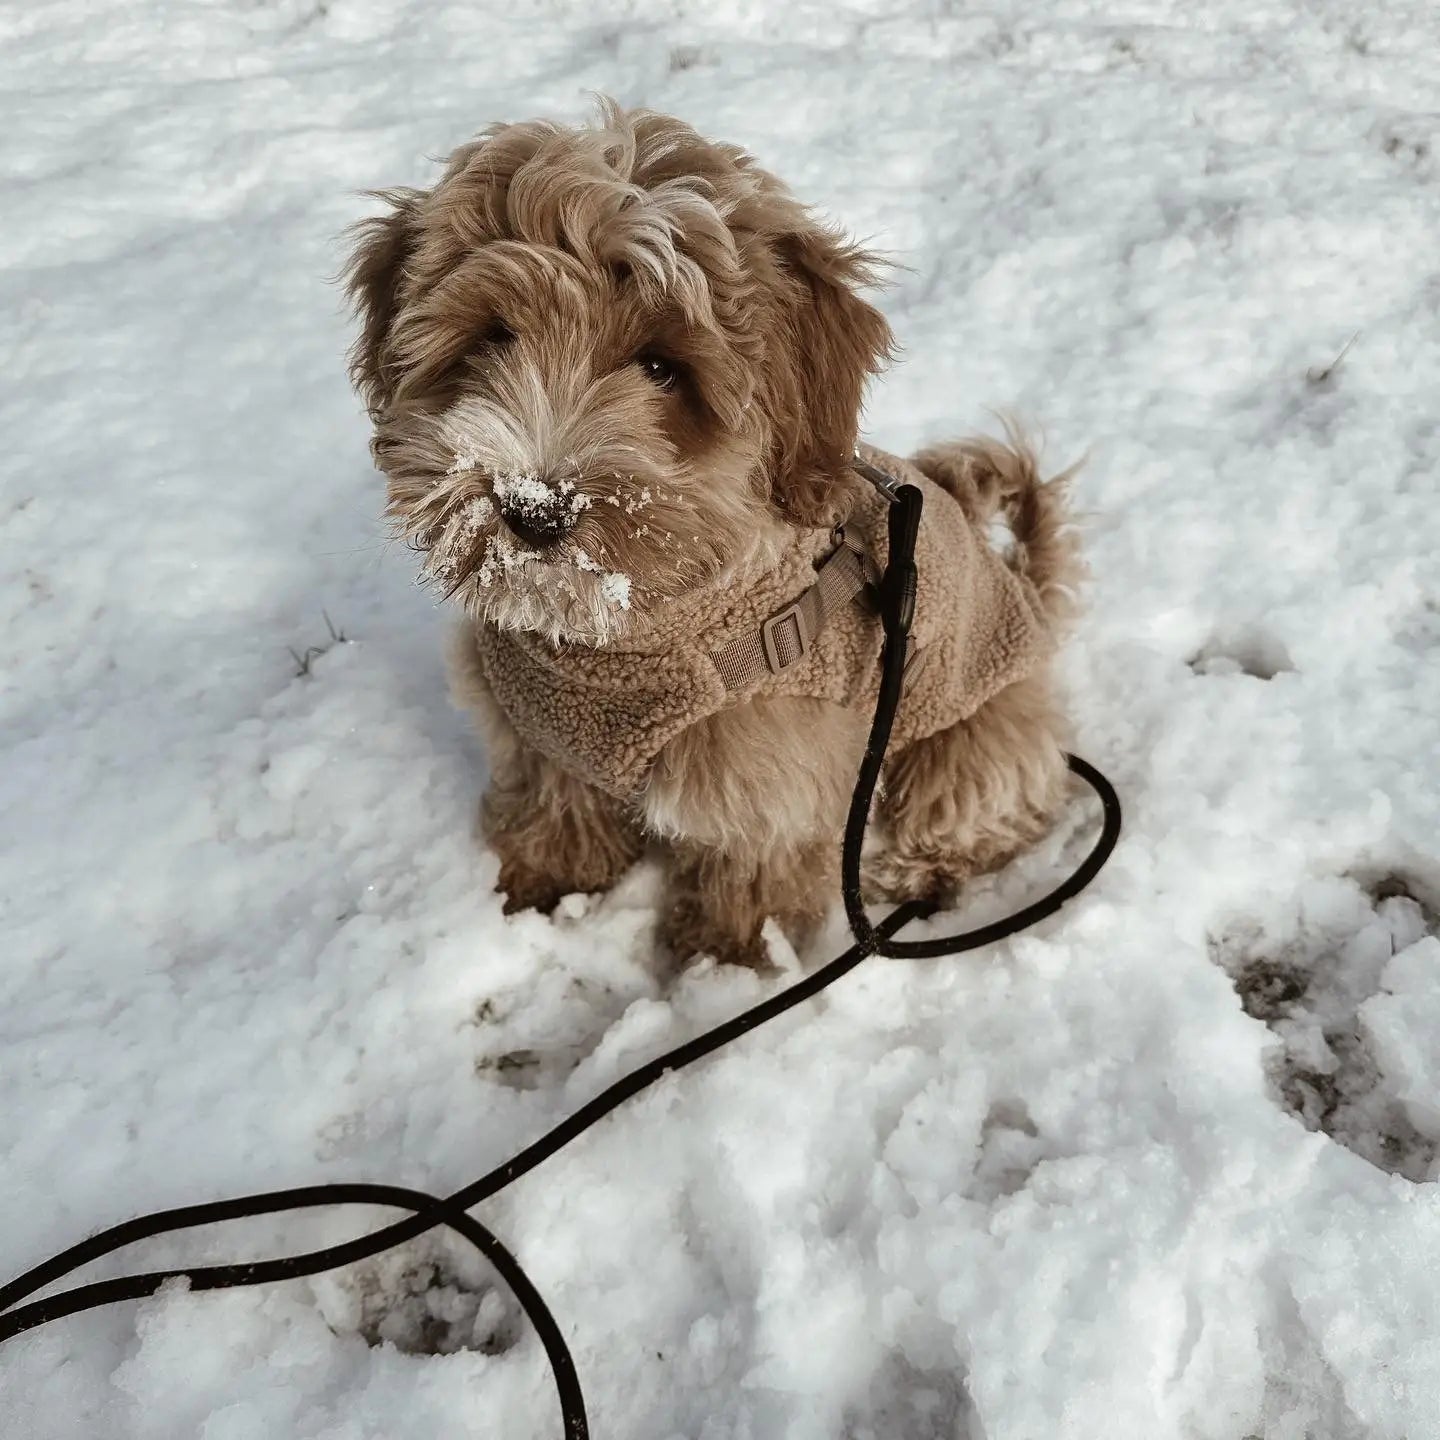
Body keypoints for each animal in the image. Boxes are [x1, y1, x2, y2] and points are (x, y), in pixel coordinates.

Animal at [342, 95, 1077, 961]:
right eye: (494, 335)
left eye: (661, 367)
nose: (533, 508)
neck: (611, 646)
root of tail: (1026, 593)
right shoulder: (533, 729)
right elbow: (555, 810)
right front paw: (544, 884)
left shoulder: (763, 775)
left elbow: (745, 879)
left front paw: (723, 965)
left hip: (965, 722)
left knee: (980, 806)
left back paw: (924, 874)